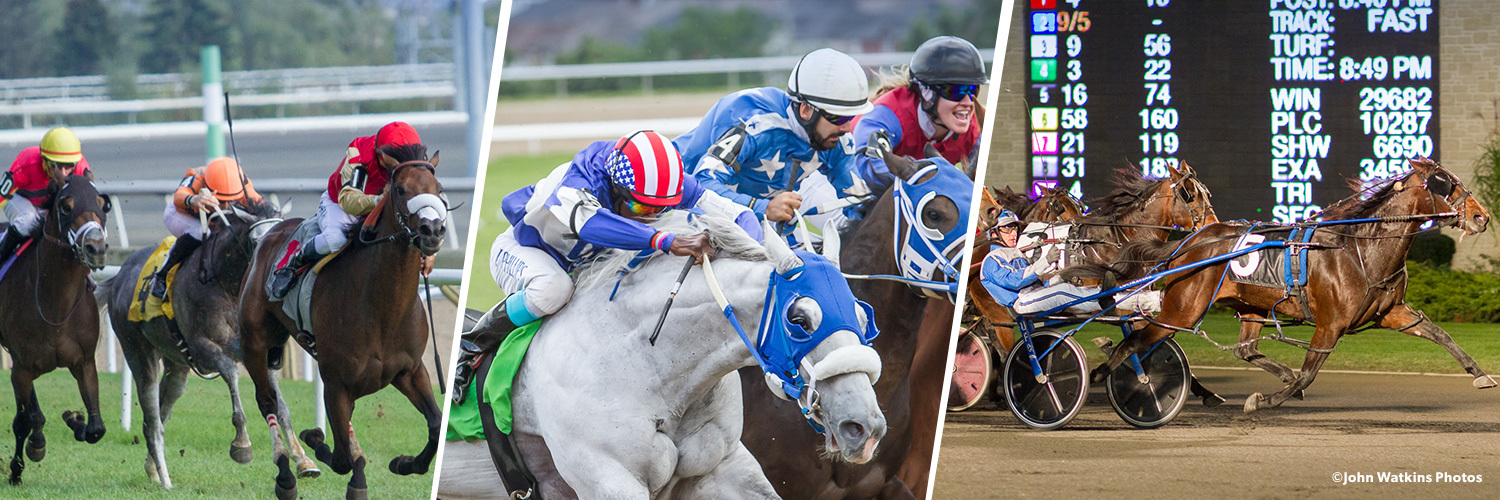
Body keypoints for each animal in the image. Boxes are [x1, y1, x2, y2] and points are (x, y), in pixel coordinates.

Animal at [0, 175, 110, 485]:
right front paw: (16, 471)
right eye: (65, 206)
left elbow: (96, 428)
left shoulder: (84, 362)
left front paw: (75, 419)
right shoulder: (22, 367)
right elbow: (22, 421)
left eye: (102, 204)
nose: (96, 248)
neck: (56, 306)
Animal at [97, 199, 280, 489]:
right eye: (257, 242)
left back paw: (152, 469)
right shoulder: (204, 348)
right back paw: (165, 480)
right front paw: (242, 444)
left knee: (162, 410)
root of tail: (119, 277)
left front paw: (301, 458)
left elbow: (277, 399)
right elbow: (231, 373)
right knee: (153, 422)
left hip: (176, 364)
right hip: (138, 351)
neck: (225, 284)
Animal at [238, 145, 447, 500]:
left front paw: (404, 463)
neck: (382, 309)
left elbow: (435, 424)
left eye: (440, 190)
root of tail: (272, 232)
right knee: (267, 400)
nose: (432, 231)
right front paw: (315, 441)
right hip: (255, 342)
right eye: (401, 189)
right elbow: (339, 457)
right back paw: (286, 475)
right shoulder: (336, 384)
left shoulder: (410, 370)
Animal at [1070, 158, 1492, 413]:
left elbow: (1439, 333)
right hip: (1185, 308)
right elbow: (1309, 372)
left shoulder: (1394, 313)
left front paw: (1481, 375)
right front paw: (1264, 400)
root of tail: (1192, 241)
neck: (1360, 245)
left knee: (1240, 348)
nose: (1481, 216)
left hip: (1248, 307)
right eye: (1445, 184)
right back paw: (1103, 372)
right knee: (1139, 339)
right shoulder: (1330, 324)